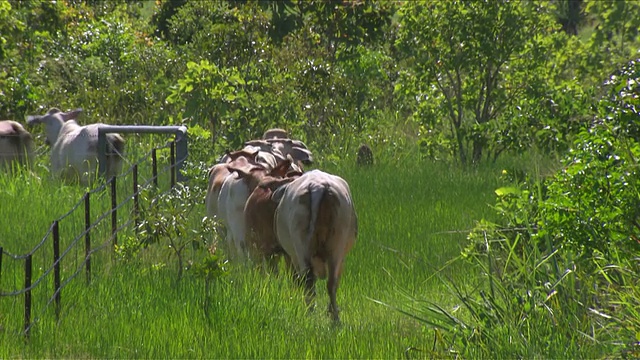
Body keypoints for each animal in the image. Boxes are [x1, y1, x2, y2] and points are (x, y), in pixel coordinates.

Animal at [272, 170, 358, 322]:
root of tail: (318, 187)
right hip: (336, 247)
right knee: (330, 283)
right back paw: (334, 317)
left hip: (303, 250)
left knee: (310, 281)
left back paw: (312, 313)